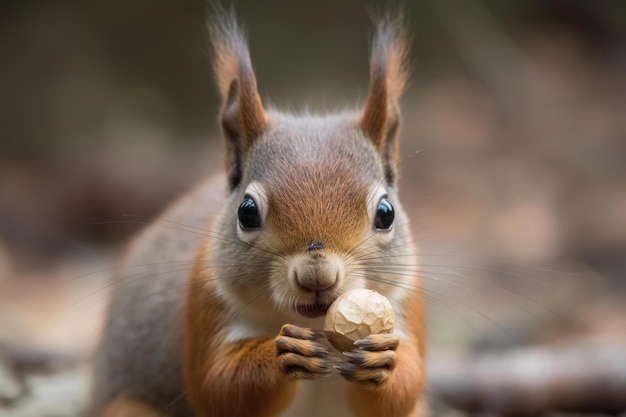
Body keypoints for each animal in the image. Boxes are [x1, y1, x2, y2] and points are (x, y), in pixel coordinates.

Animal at [91, 7, 424, 416]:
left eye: (386, 213)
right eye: (246, 212)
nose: (317, 277)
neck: (311, 324)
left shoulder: (408, 303)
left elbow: (404, 390)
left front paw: (383, 362)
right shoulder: (206, 304)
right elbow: (217, 387)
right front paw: (281, 354)